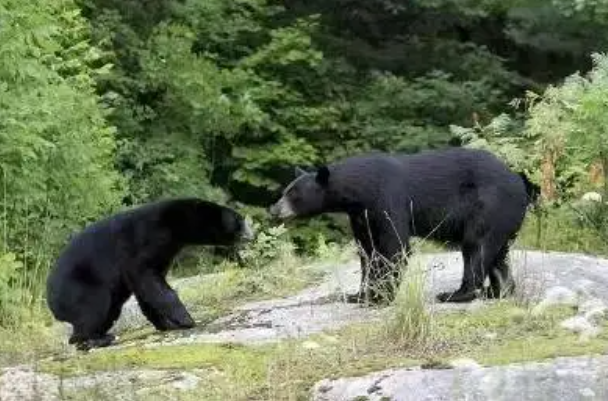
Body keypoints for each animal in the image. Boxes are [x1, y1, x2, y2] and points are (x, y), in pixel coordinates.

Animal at [45, 198, 254, 350]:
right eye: (239, 221)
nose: (251, 235)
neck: (174, 223)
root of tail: (52, 305)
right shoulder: (147, 240)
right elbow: (146, 277)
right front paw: (186, 319)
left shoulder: (166, 251)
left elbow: (147, 289)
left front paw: (167, 324)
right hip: (78, 287)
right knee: (94, 306)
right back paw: (94, 339)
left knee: (110, 310)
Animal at [268, 147, 536, 304]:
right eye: (285, 191)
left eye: (293, 195)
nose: (274, 210)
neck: (359, 191)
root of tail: (519, 181)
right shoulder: (361, 215)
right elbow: (368, 252)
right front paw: (360, 295)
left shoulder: (387, 199)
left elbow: (393, 246)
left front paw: (381, 297)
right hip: (503, 217)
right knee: (498, 254)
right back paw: (500, 290)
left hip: (489, 205)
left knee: (476, 247)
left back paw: (457, 294)